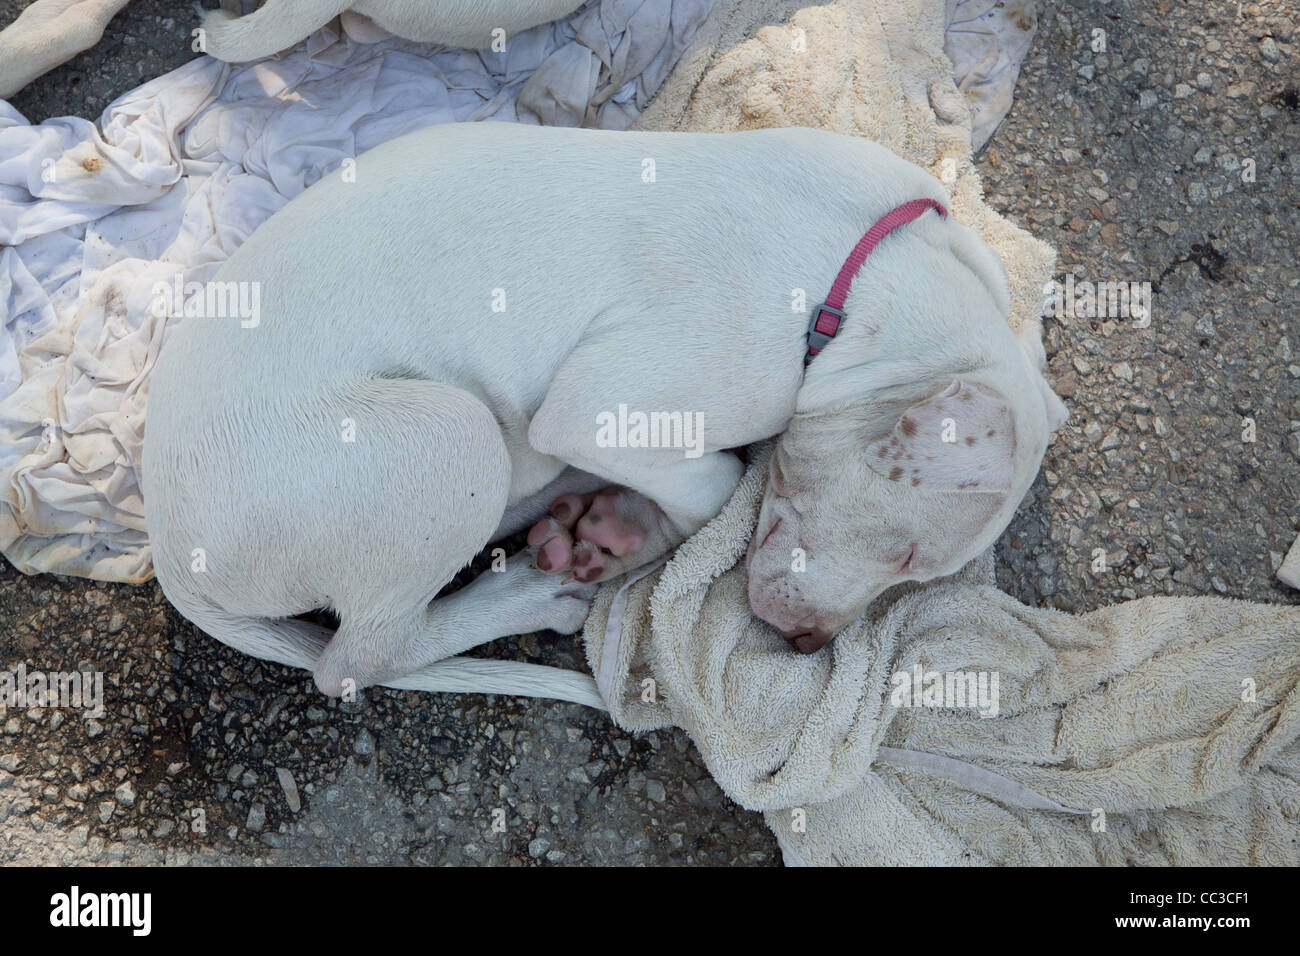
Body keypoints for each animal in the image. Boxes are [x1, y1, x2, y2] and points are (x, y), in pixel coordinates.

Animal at [139, 123, 1066, 697]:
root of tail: (174, 551)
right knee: (357, 658)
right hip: (445, 438)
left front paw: (623, 526)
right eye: (907, 554)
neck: (862, 287)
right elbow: (717, 482)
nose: (808, 647)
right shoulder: (607, 406)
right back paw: (530, 591)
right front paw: (648, 528)